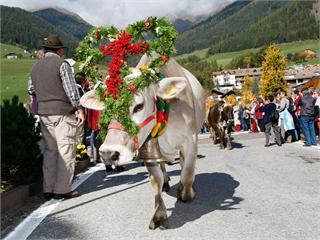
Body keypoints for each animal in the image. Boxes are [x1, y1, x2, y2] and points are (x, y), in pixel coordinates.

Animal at [77, 17, 205, 229]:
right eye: (107, 107)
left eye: (139, 106)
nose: (108, 154)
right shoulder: (147, 146)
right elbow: (155, 180)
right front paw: (159, 214)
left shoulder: (190, 139)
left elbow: (187, 173)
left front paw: (186, 193)